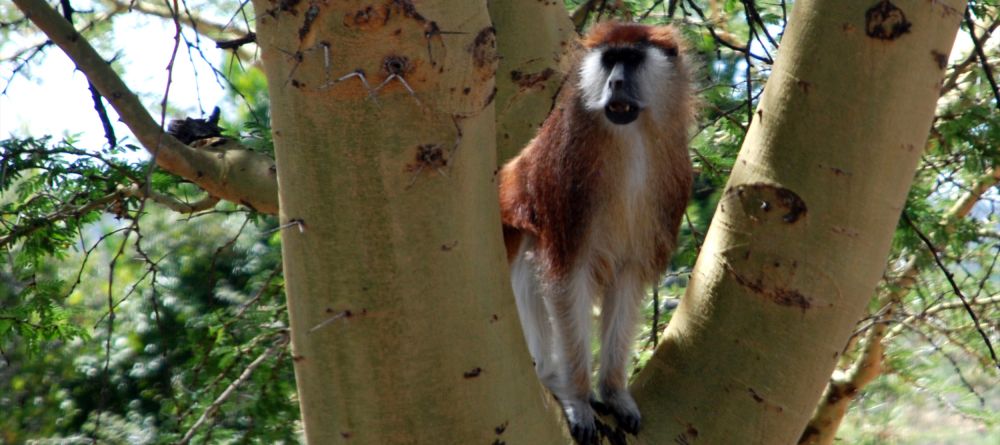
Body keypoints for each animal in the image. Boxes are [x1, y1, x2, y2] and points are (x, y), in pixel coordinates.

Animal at [496, 21, 692, 440]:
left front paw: (614, 393)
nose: (615, 81)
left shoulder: (673, 180)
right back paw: (551, 377)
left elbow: (628, 278)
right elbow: (564, 277)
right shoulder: (564, 173)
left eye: (631, 58)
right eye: (609, 59)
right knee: (529, 243)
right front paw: (578, 398)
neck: (631, 140)